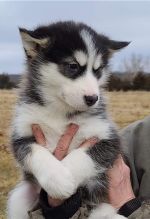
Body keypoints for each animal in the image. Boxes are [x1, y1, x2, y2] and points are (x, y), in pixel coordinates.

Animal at [7, 21, 129, 219]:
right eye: (72, 66)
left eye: (98, 70)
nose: (93, 99)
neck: (61, 112)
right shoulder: (21, 135)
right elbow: (35, 152)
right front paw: (58, 178)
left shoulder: (108, 138)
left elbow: (84, 155)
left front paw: (66, 175)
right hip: (19, 198)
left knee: (101, 209)